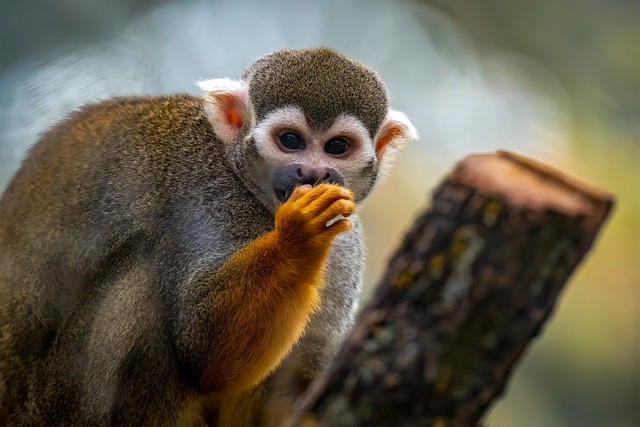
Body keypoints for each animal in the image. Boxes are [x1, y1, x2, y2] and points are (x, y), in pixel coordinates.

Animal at [0, 47, 416, 426]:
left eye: (337, 147)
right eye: (290, 140)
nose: (312, 174)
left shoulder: (347, 240)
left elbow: (295, 383)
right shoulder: (202, 193)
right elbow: (206, 351)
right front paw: (298, 236)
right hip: (59, 403)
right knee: (144, 279)